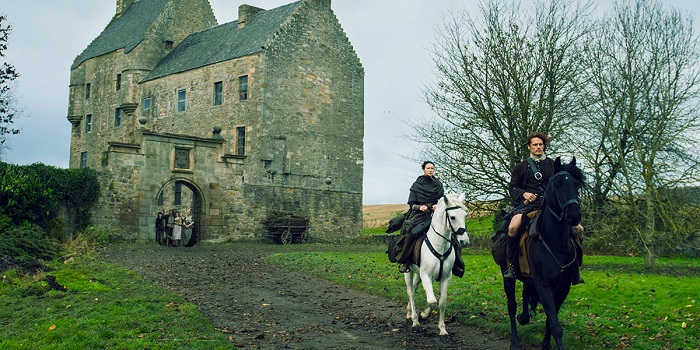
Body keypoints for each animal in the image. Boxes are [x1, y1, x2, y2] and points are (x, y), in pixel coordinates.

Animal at [404, 193, 470, 334]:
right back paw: (415, 320)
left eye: (464, 216)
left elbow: (442, 302)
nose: (465, 242)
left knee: (414, 288)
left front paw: (442, 328)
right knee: (411, 292)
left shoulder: (446, 277)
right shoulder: (426, 276)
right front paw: (423, 315)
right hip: (409, 271)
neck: (440, 246)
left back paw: (409, 312)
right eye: (452, 217)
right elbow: (432, 301)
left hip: (418, 274)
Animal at [492, 158, 584, 350]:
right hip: (507, 275)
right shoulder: (544, 286)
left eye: (576, 184)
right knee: (511, 305)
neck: (557, 243)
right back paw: (515, 340)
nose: (574, 215)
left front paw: (545, 344)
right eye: (557, 183)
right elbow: (555, 324)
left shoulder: (563, 287)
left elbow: (551, 319)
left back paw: (524, 317)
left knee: (526, 291)